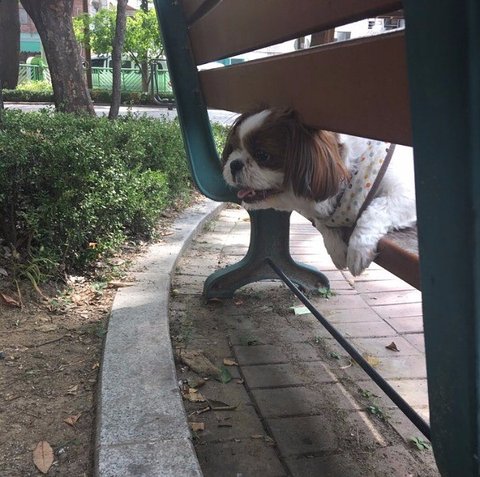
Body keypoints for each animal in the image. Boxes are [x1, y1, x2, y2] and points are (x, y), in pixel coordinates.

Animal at [222, 108, 416, 276]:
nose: (234, 164)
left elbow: (374, 210)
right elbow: (322, 223)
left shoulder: (406, 195)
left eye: (262, 155)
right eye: (234, 148)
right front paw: (336, 250)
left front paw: (358, 250)